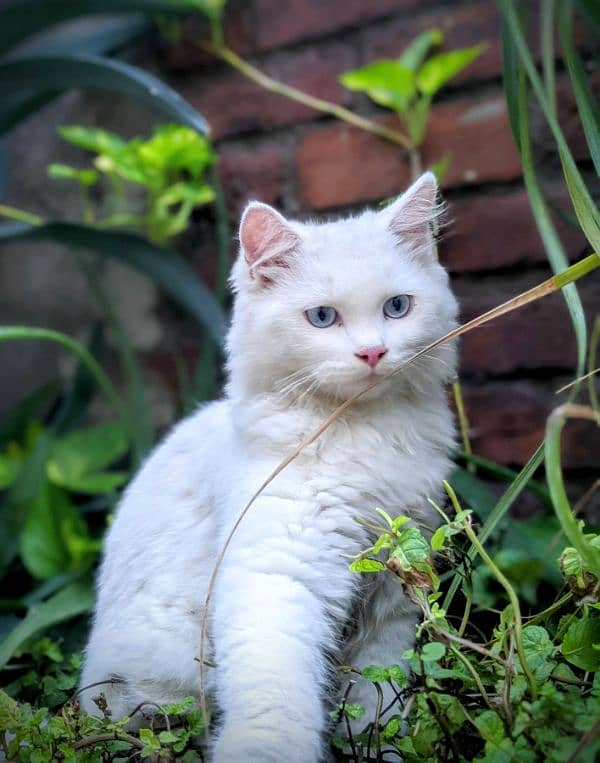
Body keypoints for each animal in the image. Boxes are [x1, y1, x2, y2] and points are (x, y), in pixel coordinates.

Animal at [78, 170, 454, 760]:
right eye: (322, 317)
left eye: (397, 307)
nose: (373, 353)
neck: (360, 433)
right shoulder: (277, 573)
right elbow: (277, 696)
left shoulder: (391, 599)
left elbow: (380, 701)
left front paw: (383, 750)